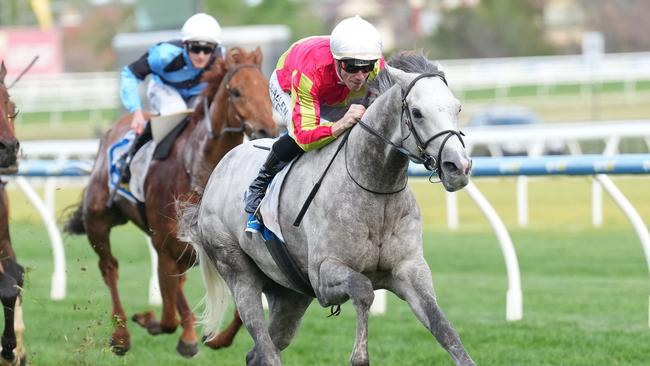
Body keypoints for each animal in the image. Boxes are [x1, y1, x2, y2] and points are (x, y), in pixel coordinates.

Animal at [65, 47, 276, 356]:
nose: (267, 130)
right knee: (110, 268)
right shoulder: (164, 243)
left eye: (266, 89)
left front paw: (216, 338)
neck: (197, 168)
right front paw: (156, 324)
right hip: (98, 221)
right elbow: (167, 318)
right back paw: (121, 335)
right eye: (236, 92)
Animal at [180, 52, 474, 366]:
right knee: (266, 349)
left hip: (289, 294)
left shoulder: (411, 271)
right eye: (417, 112)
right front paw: (360, 354)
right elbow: (363, 289)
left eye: (457, 107)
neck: (374, 187)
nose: (458, 167)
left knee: (257, 353)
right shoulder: (324, 275)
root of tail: (218, 171)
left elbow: (446, 332)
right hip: (238, 272)